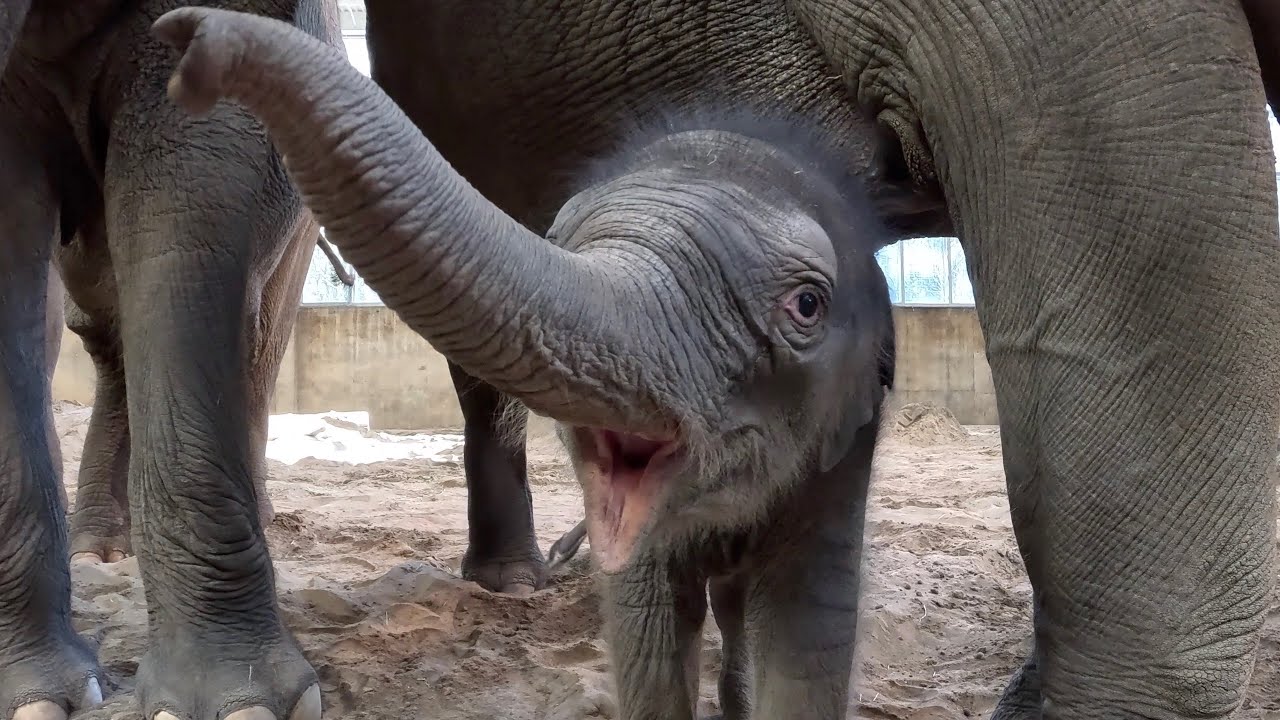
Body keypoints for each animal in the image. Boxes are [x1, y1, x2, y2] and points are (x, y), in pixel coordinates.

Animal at [0, 1, 344, 719]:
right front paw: (36, 700)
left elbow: (189, 192)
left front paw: (240, 704)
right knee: (102, 325)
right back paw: (101, 550)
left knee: (257, 340)